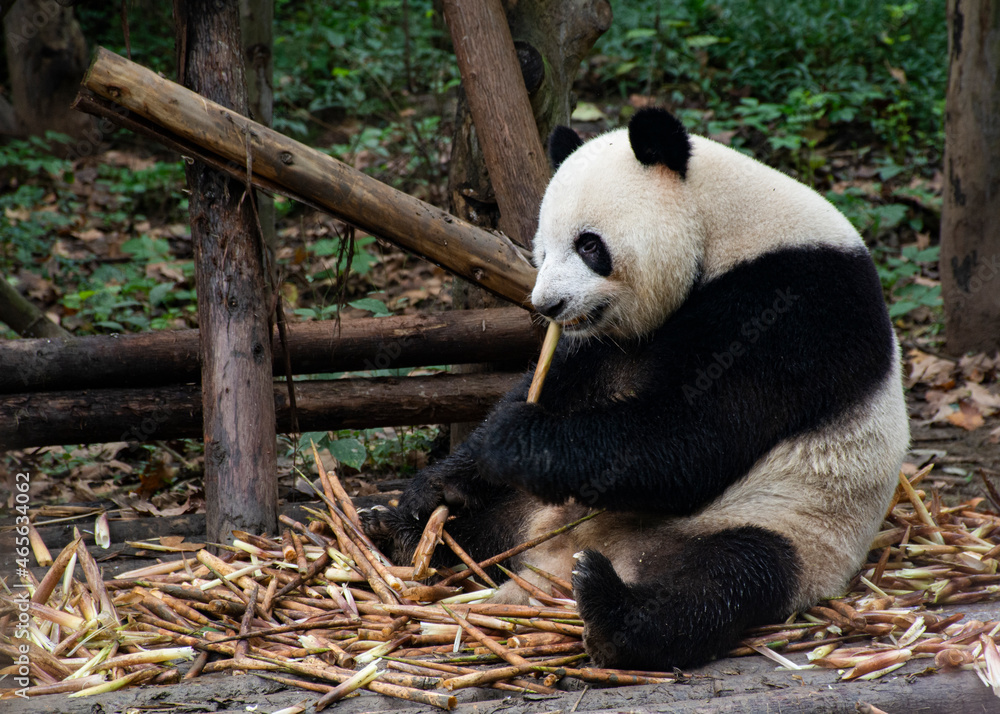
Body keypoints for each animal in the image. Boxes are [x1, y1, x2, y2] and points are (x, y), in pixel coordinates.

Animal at [362, 107, 910, 671]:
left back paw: (609, 609)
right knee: (493, 523)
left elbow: (696, 438)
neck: (724, 226)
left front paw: (512, 440)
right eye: (541, 250)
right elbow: (564, 381)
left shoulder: (790, 308)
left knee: (727, 578)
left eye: (589, 245)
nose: (548, 306)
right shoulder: (609, 338)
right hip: (538, 507)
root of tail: (550, 561)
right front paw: (438, 486)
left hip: (785, 523)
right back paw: (401, 530)